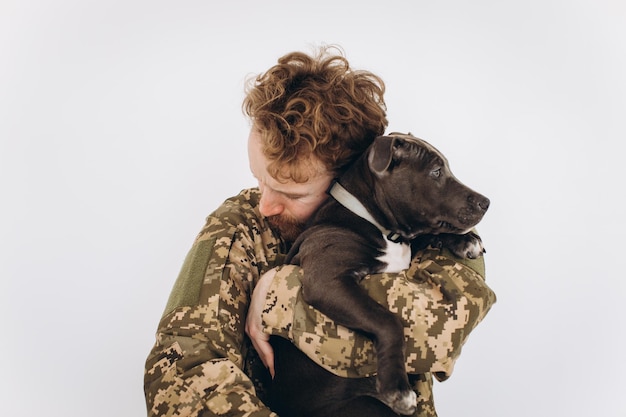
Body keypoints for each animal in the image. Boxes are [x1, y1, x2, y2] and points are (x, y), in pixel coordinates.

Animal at [264, 132, 488, 416]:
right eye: (436, 172)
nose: (486, 202)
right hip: (364, 406)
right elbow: (388, 320)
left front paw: (465, 241)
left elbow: (424, 236)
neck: (380, 227)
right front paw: (398, 388)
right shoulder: (327, 281)